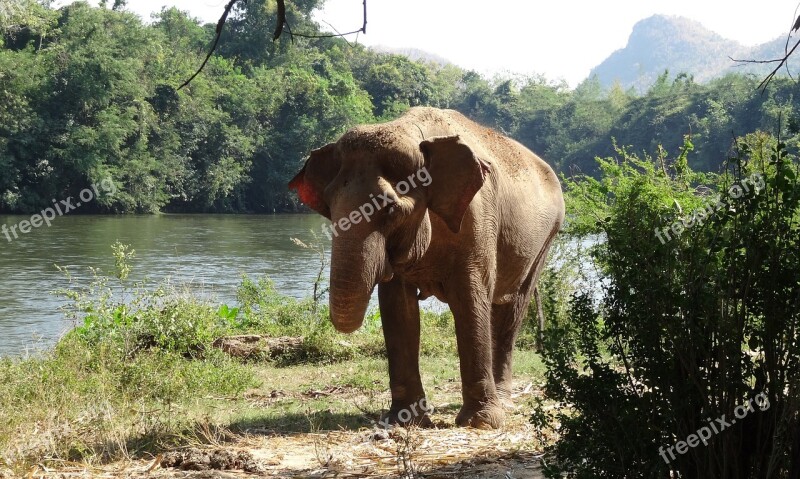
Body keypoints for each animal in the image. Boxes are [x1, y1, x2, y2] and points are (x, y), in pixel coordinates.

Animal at [288, 107, 564, 430]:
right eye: (330, 208)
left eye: (390, 210)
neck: (411, 132)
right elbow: (398, 308)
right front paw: (404, 420)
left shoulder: (478, 220)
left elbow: (470, 300)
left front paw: (480, 423)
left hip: (545, 238)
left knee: (512, 310)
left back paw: (504, 402)